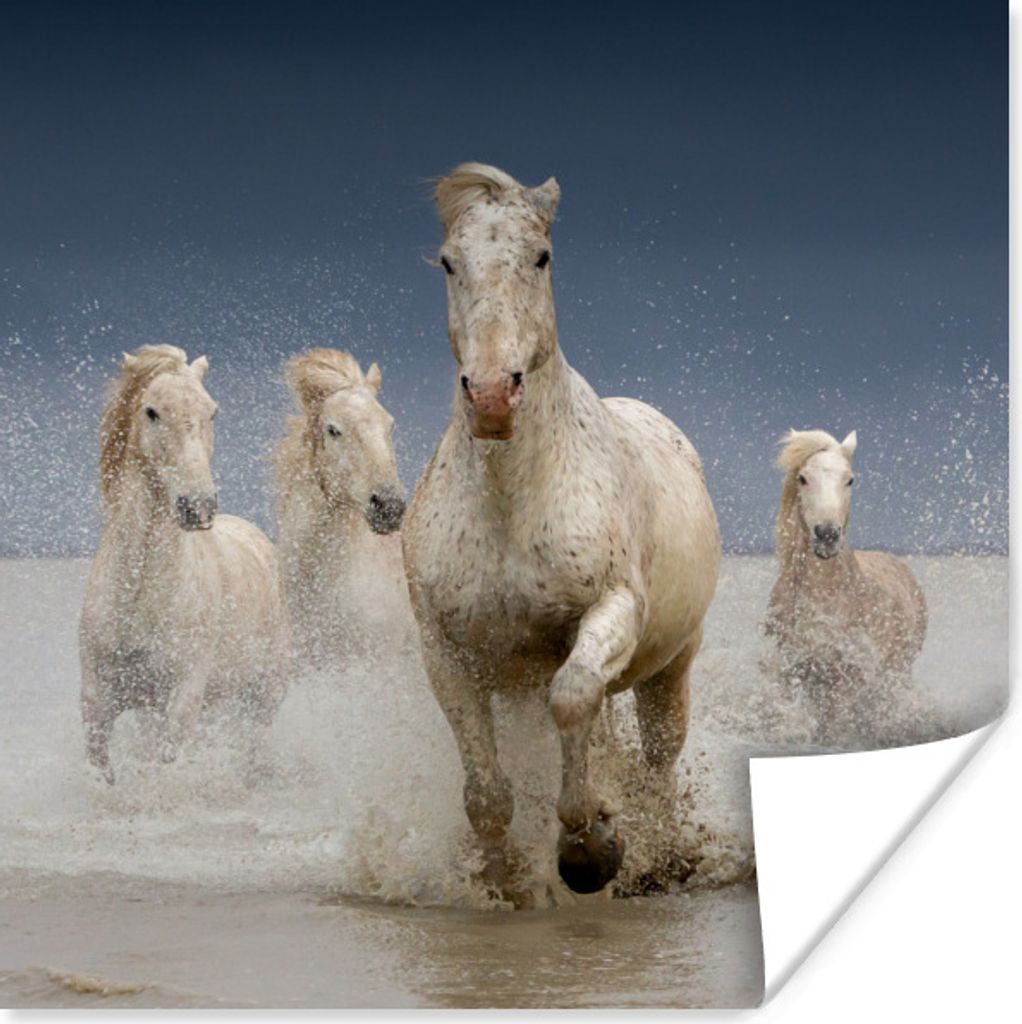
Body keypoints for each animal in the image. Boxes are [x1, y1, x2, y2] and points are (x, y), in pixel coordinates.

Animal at [79, 345, 289, 783]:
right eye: (151, 411)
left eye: (213, 412)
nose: (198, 505)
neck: (138, 595)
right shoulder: (99, 701)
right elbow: (101, 764)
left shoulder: (183, 697)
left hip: (263, 695)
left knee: (252, 747)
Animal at [401, 163, 721, 897]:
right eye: (449, 263)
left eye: (541, 257)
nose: (493, 396)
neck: (511, 503)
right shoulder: (448, 652)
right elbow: (486, 794)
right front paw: (503, 879)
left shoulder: (611, 610)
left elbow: (574, 699)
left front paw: (590, 850)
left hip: (673, 663)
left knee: (658, 755)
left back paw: (659, 855)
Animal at [764, 429, 928, 743]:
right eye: (802, 478)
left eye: (850, 479)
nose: (827, 535)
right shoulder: (793, 670)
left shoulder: (848, 679)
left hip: (898, 673)